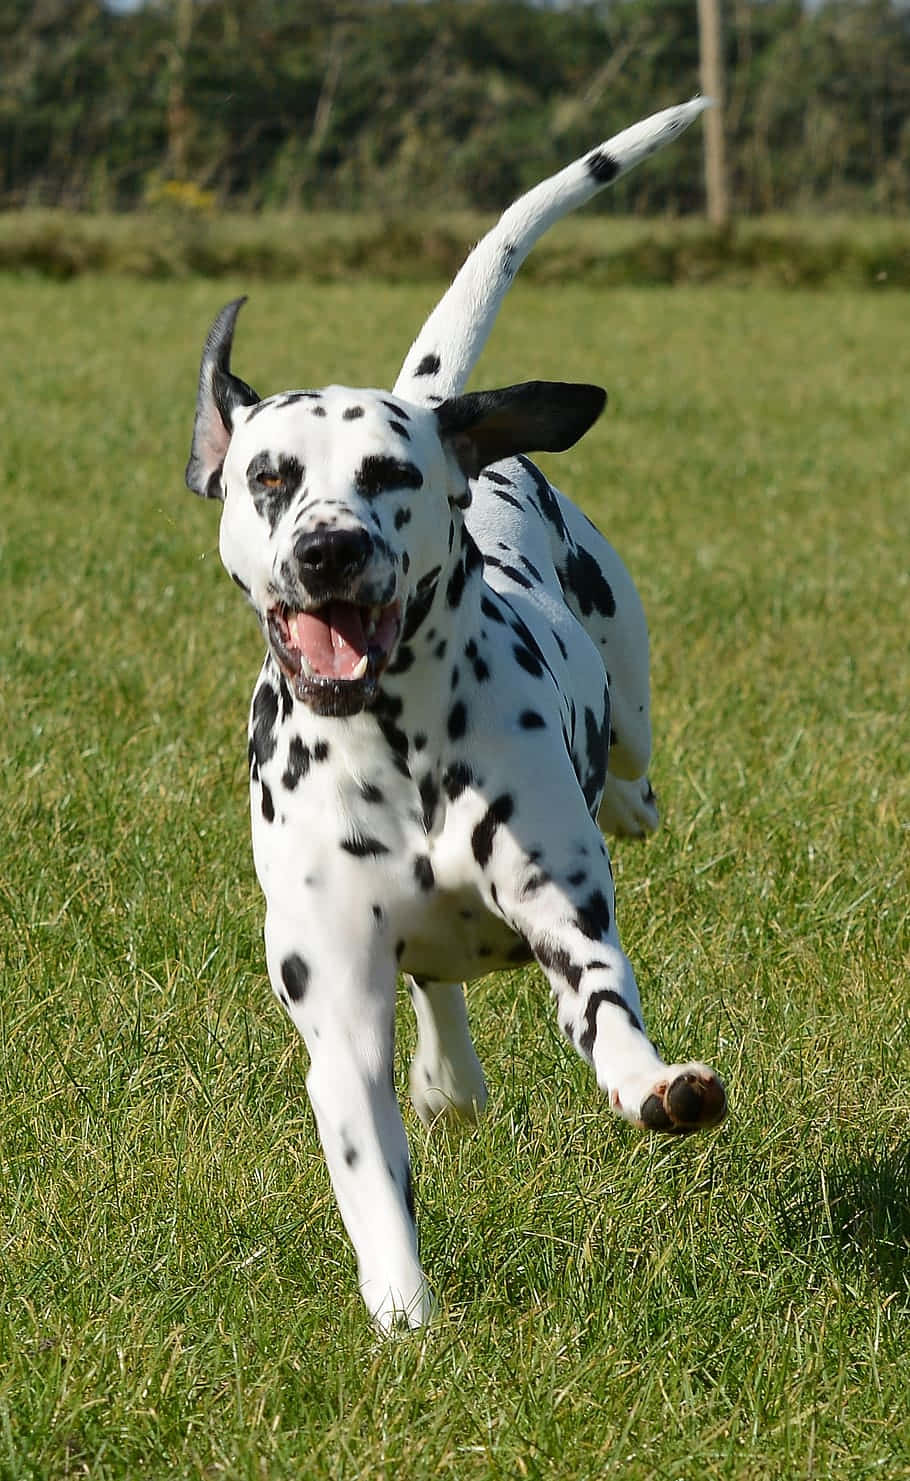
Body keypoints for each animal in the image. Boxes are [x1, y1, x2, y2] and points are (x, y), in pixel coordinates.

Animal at [183, 101, 726, 1332]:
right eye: (269, 475)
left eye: (390, 473)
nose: (330, 549)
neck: (393, 743)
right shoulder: (337, 1008)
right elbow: (369, 1170)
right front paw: (404, 1316)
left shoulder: (567, 921)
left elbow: (609, 1016)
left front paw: (654, 1083)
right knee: (438, 996)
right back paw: (450, 1078)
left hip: (628, 712)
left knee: (633, 777)